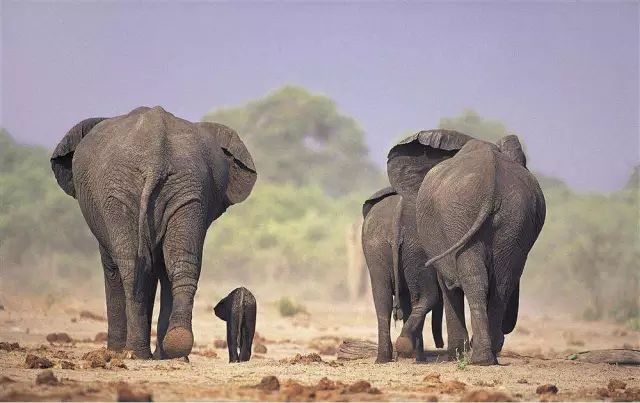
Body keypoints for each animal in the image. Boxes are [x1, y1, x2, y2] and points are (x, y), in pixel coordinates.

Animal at [50, 106, 256, 360]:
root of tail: (157, 153)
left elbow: (115, 269)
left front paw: (117, 351)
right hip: (188, 188)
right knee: (180, 263)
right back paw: (176, 348)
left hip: (119, 194)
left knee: (130, 268)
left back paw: (135, 352)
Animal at [362, 188, 442, 364]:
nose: (440, 345)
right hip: (417, 249)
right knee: (423, 296)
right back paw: (418, 358)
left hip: (375, 246)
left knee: (382, 299)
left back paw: (383, 359)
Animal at [384, 130, 544, 366]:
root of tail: (492, 181)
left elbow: (447, 283)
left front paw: (455, 354)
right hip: (511, 218)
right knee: (501, 282)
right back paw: (486, 356)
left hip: (461, 216)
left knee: (475, 279)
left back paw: (477, 356)